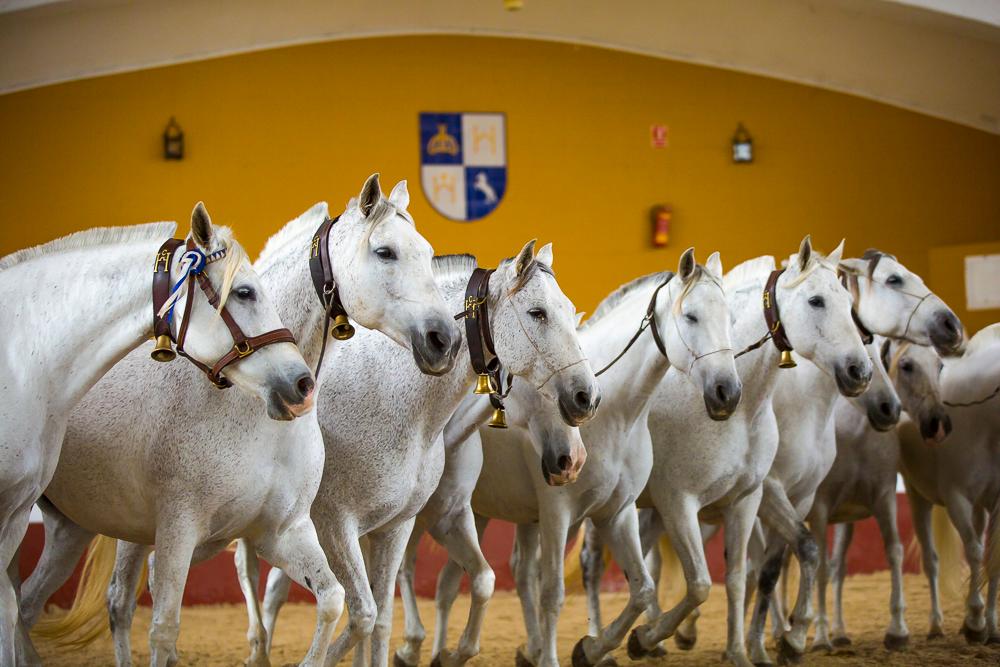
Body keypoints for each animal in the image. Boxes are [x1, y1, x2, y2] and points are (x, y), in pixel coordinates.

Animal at [242, 240, 600, 667]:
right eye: (538, 313)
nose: (586, 398)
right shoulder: (336, 525)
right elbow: (362, 614)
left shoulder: (412, 523)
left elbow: (416, 604)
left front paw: (445, 653)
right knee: (253, 575)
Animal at [431, 249, 741, 667]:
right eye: (691, 316)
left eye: (729, 319)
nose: (728, 392)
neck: (618, 416)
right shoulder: (557, 513)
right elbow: (553, 593)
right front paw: (562, 655)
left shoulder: (617, 513)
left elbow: (642, 589)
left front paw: (600, 647)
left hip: (484, 513)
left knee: (474, 578)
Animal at [810, 337, 950, 651]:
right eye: (907, 365)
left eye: (940, 365)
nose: (937, 423)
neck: (854, 434)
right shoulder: (819, 509)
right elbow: (820, 567)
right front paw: (821, 636)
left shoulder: (884, 498)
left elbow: (894, 551)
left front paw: (898, 631)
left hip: (845, 523)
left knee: (836, 566)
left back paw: (840, 633)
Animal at [898, 323, 1000, 645]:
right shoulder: (957, 499)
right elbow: (975, 552)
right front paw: (976, 622)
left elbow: (992, 560)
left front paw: (990, 625)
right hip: (917, 495)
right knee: (932, 561)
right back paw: (936, 625)